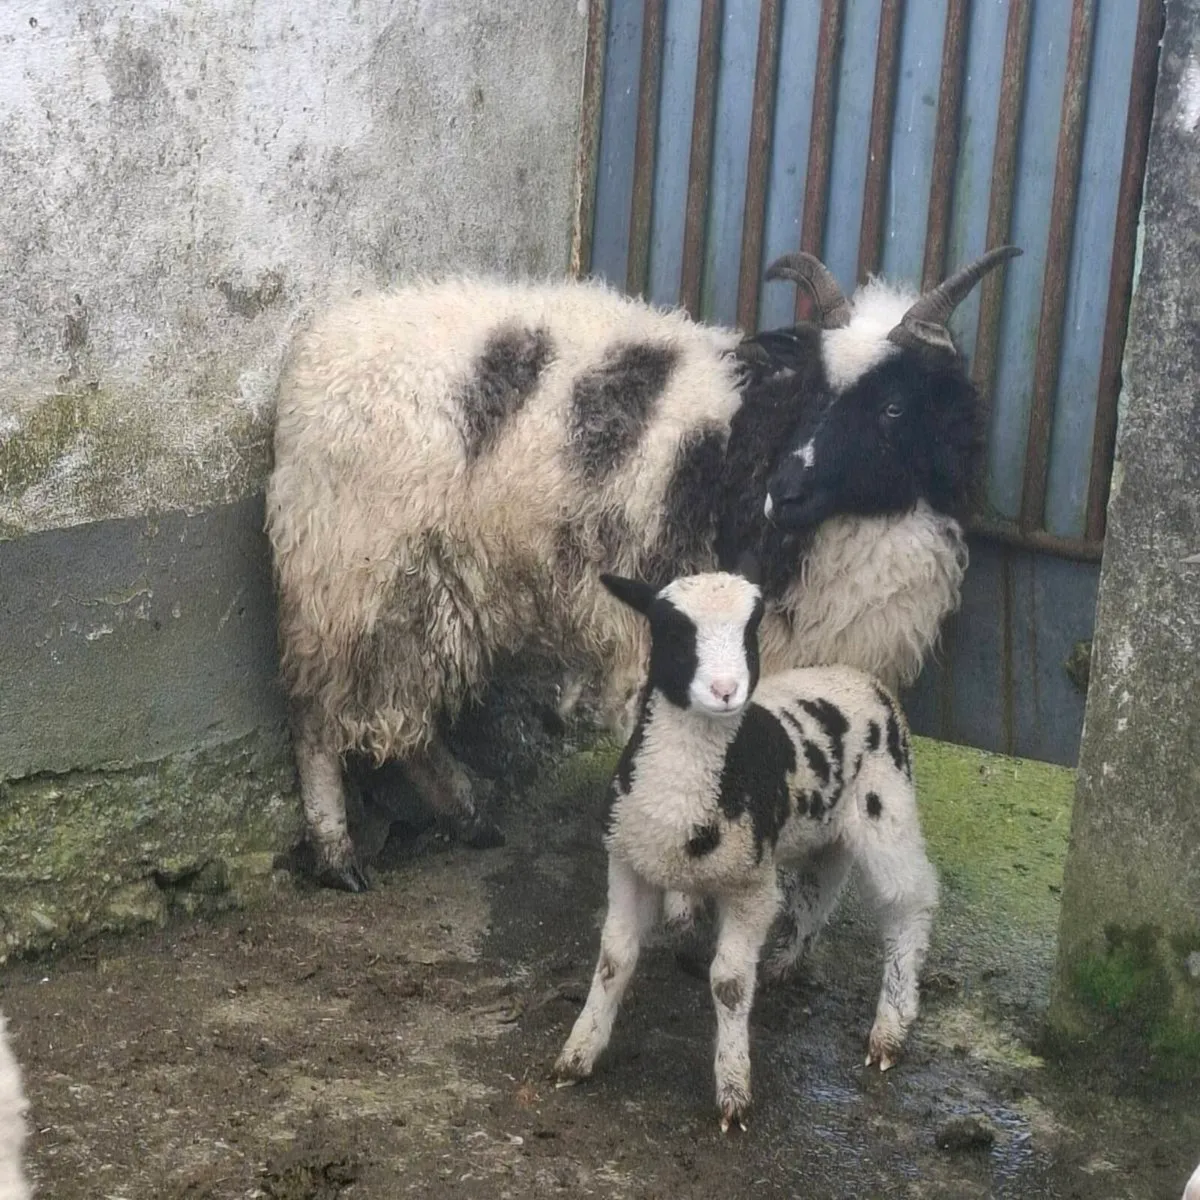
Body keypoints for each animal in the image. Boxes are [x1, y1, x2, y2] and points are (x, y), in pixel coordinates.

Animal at [266, 246, 1019, 891]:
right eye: (809, 396)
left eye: (893, 408)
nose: (784, 493)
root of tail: (316, 349)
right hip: (351, 569)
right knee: (319, 712)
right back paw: (338, 855)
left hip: (423, 583)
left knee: (405, 716)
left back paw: (468, 813)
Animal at [552, 566, 939, 1132]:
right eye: (673, 631)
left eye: (750, 631)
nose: (726, 690)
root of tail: (855, 675)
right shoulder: (628, 862)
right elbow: (614, 960)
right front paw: (578, 1054)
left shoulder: (750, 887)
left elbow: (729, 983)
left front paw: (733, 1090)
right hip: (823, 822)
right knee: (823, 879)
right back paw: (786, 962)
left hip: (885, 805)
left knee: (909, 903)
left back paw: (890, 1026)